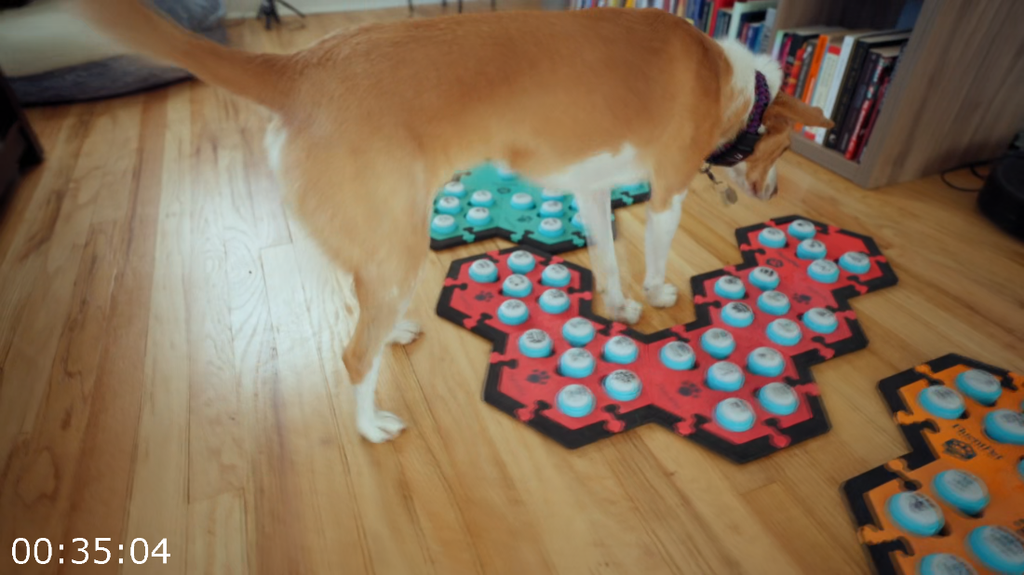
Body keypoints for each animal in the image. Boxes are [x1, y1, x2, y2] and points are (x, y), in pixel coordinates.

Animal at [78, 0, 833, 444]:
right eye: (786, 150)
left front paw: (617, 304)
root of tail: (300, 67)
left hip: (380, 237)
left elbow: (606, 260)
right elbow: (651, 256)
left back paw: (396, 328)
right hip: (400, 238)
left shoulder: (592, 193)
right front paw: (655, 294)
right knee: (353, 354)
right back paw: (371, 424)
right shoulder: (669, 190)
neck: (731, 79)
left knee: (359, 297)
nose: (771, 194)